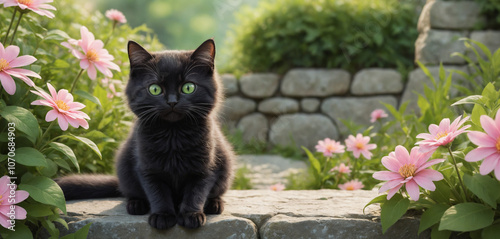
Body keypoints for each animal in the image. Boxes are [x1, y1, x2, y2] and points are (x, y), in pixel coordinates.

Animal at [55, 39, 235, 230]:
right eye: (155, 89)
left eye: (188, 87)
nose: (172, 102)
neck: (173, 135)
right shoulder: (147, 167)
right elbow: (157, 192)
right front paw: (163, 215)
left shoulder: (205, 167)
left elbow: (196, 191)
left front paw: (191, 215)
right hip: (125, 167)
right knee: (131, 192)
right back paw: (136, 204)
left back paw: (214, 204)